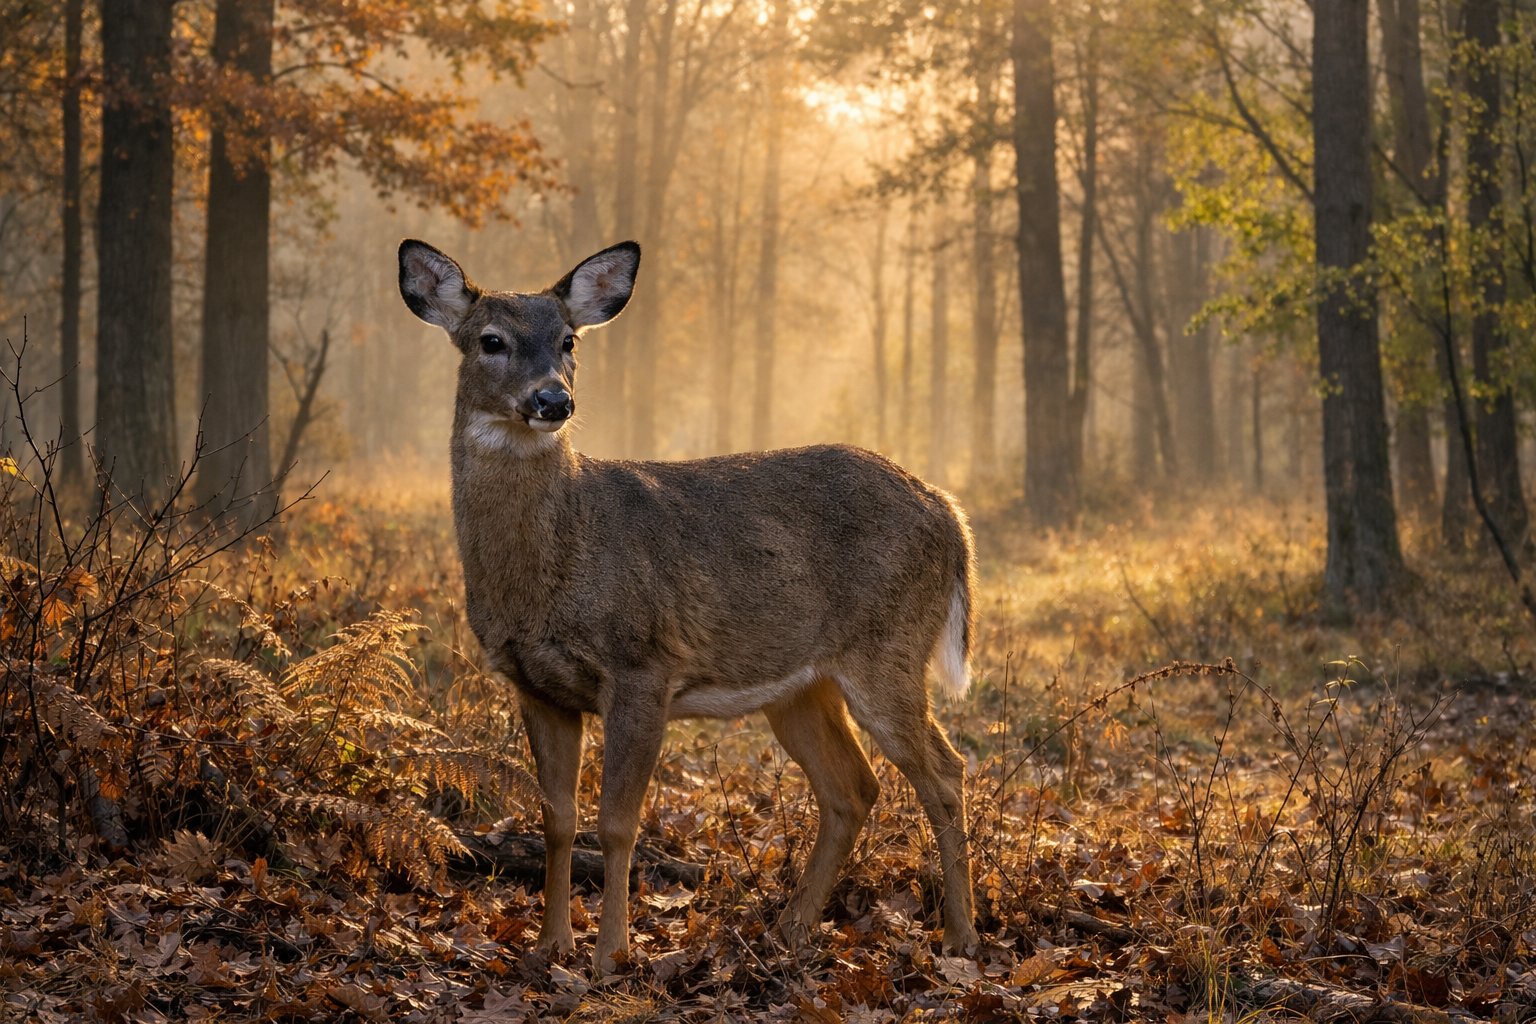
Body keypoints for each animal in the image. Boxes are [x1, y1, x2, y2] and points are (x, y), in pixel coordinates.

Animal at [397, 238, 981, 974]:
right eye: (491, 340)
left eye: (568, 340)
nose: (553, 399)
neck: (551, 568)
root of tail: (950, 512)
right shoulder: (536, 685)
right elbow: (557, 819)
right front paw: (550, 947)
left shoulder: (642, 665)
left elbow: (616, 823)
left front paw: (610, 957)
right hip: (800, 687)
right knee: (853, 788)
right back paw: (790, 931)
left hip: (889, 649)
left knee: (945, 772)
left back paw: (960, 938)